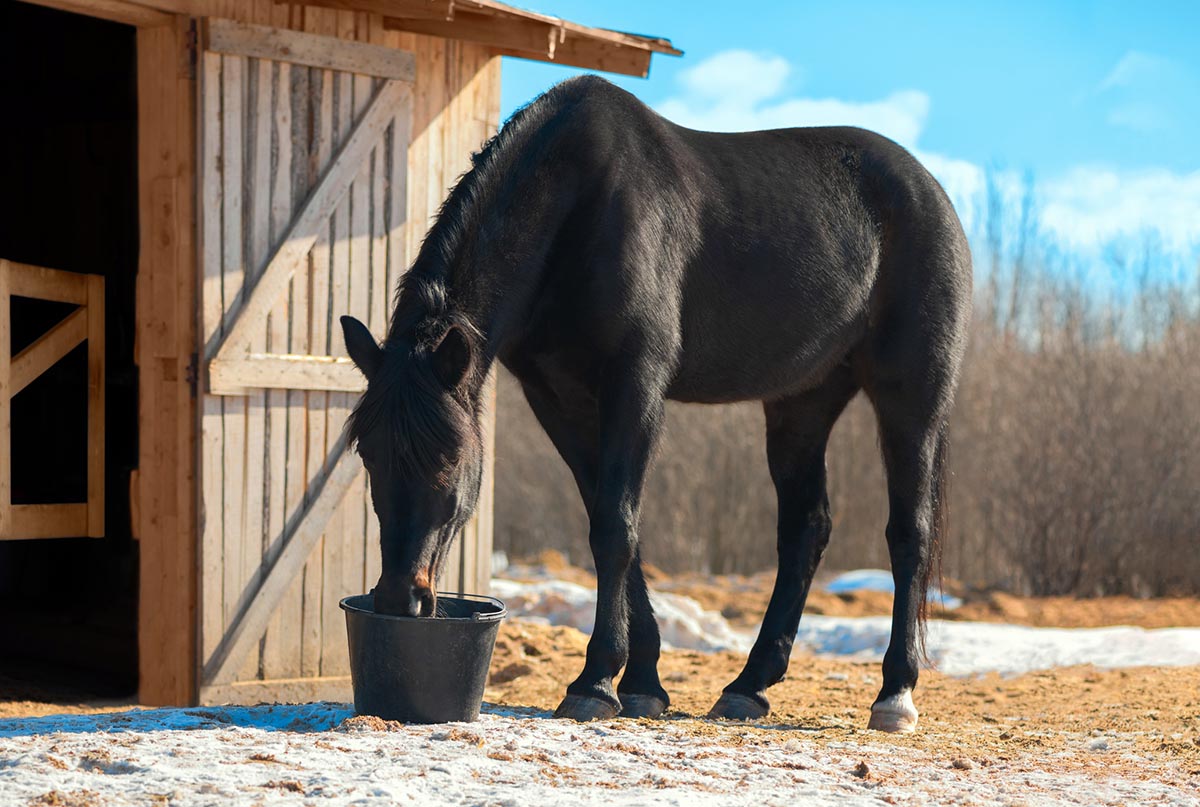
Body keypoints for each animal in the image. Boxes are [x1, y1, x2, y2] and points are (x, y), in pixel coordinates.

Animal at [340, 74, 972, 733]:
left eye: (449, 458)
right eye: (368, 456)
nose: (400, 599)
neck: (579, 205)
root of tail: (930, 192)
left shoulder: (635, 385)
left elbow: (615, 527)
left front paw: (594, 683)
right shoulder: (558, 399)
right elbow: (616, 526)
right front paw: (641, 683)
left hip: (912, 395)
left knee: (909, 531)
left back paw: (895, 694)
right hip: (802, 402)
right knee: (806, 528)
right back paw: (748, 687)